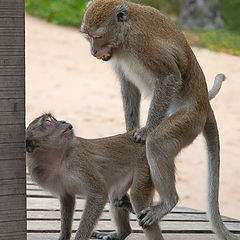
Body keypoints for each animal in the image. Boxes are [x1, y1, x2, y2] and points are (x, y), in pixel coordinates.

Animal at [81, 0, 238, 239]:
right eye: (88, 36)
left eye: (98, 36)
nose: (93, 51)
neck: (125, 36)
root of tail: (204, 102)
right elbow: (129, 86)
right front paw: (130, 130)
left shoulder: (142, 44)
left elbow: (168, 77)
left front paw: (145, 132)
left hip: (189, 120)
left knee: (158, 142)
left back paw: (167, 202)